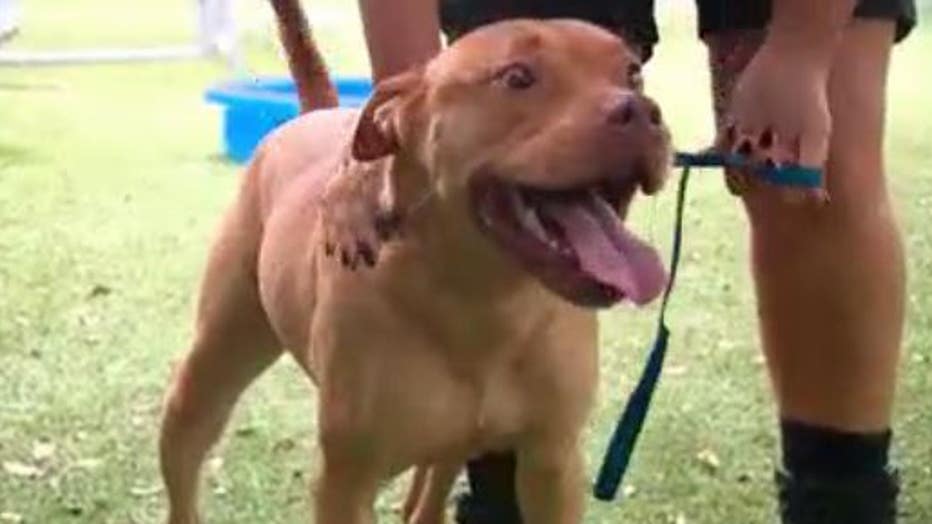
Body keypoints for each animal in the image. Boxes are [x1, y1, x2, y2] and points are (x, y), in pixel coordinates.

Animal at [158, 17, 671, 524]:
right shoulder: (345, 482)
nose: (642, 110)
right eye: (517, 77)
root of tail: (315, 114)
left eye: (632, 74)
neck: (484, 301)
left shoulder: (553, 464)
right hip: (210, 372)